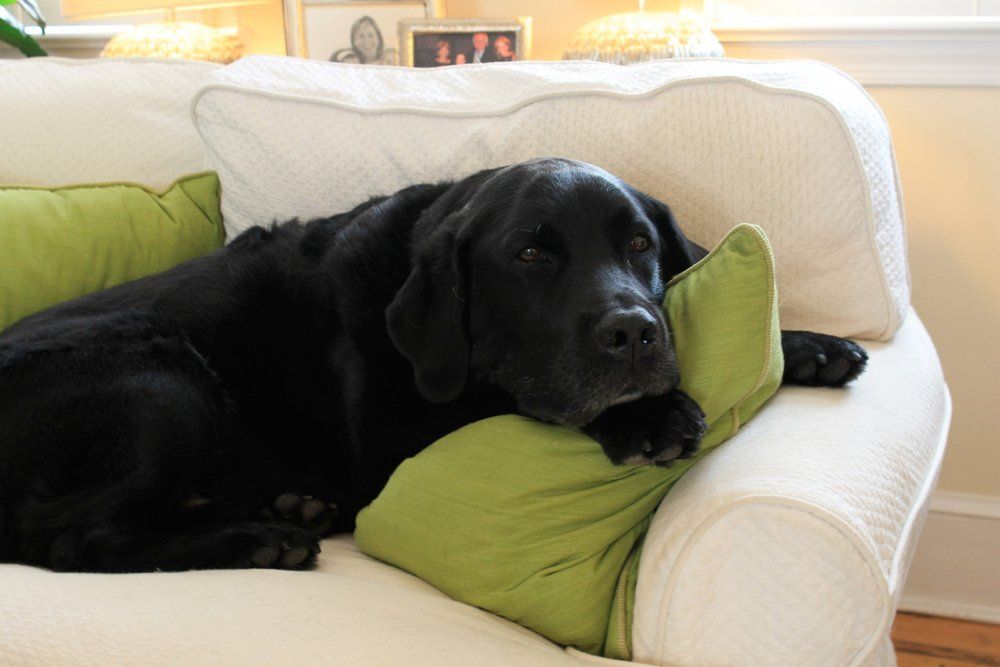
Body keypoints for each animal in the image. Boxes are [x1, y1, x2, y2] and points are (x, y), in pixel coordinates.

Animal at [0, 159, 864, 572]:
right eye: (529, 255)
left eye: (640, 244)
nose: (636, 331)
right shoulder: (399, 436)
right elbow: (513, 397)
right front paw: (643, 414)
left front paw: (813, 345)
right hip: (160, 376)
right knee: (79, 540)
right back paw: (261, 537)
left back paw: (291, 508)